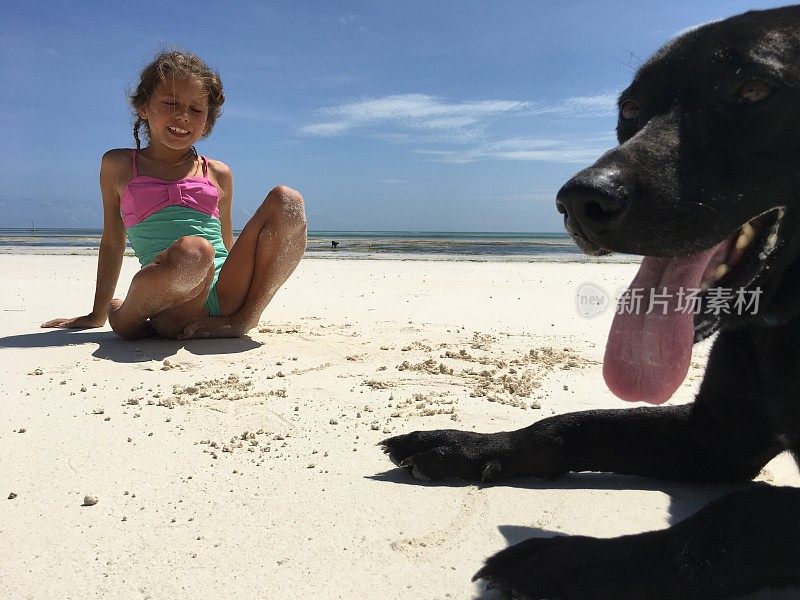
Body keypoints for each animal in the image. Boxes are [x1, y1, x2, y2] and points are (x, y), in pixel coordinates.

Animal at [380, 7, 800, 596]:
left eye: (754, 89)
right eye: (629, 110)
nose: (580, 200)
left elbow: (743, 516)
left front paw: (573, 563)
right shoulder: (716, 436)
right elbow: (575, 423)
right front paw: (467, 446)